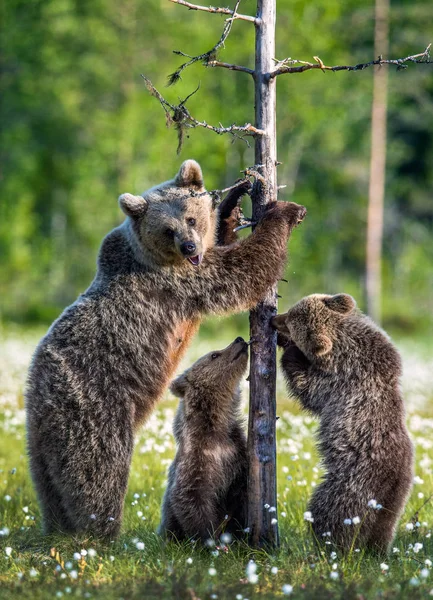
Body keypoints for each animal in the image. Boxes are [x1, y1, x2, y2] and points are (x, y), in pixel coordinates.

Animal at [26, 158, 304, 536]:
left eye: (190, 218)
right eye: (168, 230)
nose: (189, 247)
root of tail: (37, 387)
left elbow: (223, 244)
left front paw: (234, 200)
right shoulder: (179, 282)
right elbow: (240, 272)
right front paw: (283, 213)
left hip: (41, 440)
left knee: (49, 482)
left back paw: (59, 526)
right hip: (93, 404)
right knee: (99, 468)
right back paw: (102, 531)